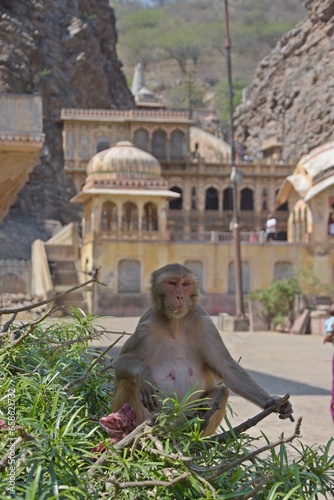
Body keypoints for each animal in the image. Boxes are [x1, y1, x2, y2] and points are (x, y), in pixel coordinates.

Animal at [111, 264, 292, 436]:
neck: (175, 325)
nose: (180, 295)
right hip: (148, 418)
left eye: (185, 284)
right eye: (172, 283)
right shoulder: (145, 328)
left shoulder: (206, 327)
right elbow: (121, 363)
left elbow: (228, 370)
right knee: (130, 382)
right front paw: (145, 375)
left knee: (222, 391)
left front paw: (272, 402)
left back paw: (193, 430)